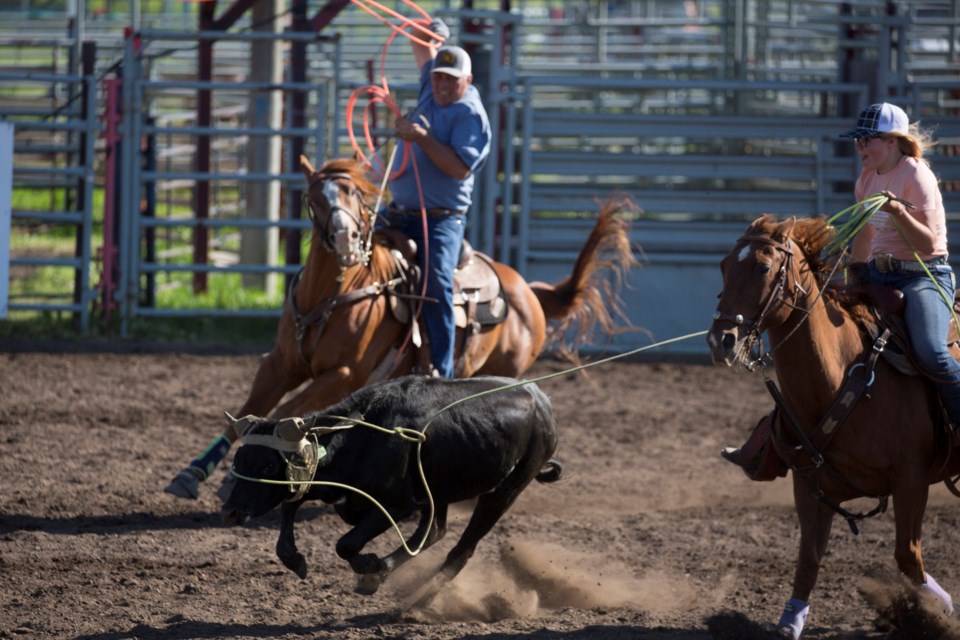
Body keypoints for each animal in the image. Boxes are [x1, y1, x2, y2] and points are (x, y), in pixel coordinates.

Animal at [167, 155, 636, 500]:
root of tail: (527, 290)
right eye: (315, 196)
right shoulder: (279, 363)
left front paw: (240, 474)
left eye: (355, 194)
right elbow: (249, 411)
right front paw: (192, 474)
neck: (333, 293)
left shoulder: (343, 374)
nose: (345, 240)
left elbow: (284, 413)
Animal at [704, 216, 960, 640]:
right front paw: (790, 622)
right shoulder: (809, 482)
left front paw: (939, 610)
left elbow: (908, 555)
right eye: (724, 265)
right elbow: (809, 558)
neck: (842, 376)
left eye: (762, 267)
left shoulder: (912, 478)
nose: (720, 340)